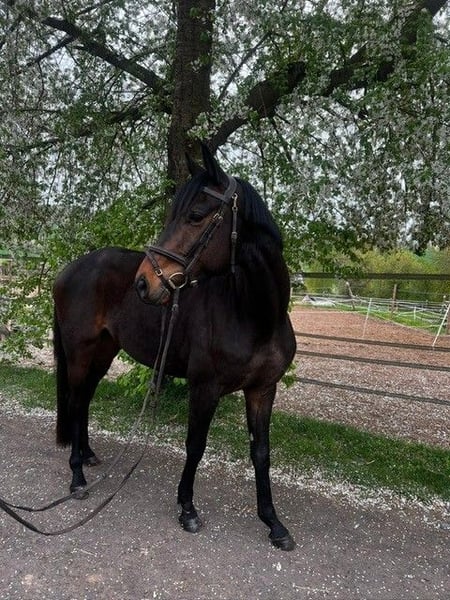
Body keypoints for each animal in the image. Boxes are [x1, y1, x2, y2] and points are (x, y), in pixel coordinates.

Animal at [53, 144, 296, 550]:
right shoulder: (205, 388)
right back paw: (77, 478)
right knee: (74, 402)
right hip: (79, 351)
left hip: (103, 352)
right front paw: (187, 509)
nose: (144, 283)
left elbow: (261, 453)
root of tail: (68, 270)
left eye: (195, 215)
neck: (254, 316)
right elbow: (195, 445)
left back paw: (87, 456)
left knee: (83, 400)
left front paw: (274, 523)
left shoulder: (263, 389)